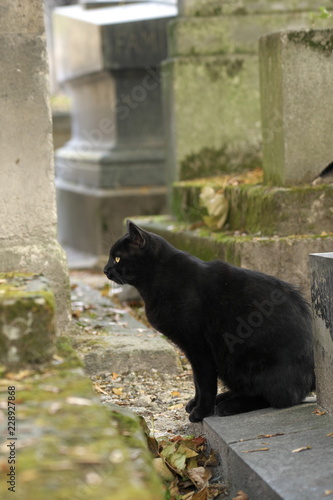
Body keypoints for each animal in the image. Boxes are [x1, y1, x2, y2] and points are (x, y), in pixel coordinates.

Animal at [104, 222, 314, 422]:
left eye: (117, 258)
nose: (105, 270)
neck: (157, 279)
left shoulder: (198, 347)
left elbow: (204, 382)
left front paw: (201, 412)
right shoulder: (190, 350)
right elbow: (197, 382)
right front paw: (196, 405)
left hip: (242, 361)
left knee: (277, 397)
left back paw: (229, 405)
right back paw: (224, 399)